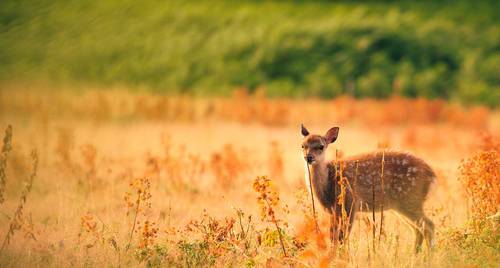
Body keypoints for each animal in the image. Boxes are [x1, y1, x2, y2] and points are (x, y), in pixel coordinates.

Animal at [300, 124, 434, 252]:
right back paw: (416, 254)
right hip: (403, 204)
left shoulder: (350, 202)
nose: (309, 157)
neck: (327, 186)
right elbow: (333, 236)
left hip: (410, 199)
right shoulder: (334, 211)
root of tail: (432, 175)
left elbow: (342, 237)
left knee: (428, 225)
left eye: (321, 146)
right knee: (419, 229)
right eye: (303, 146)